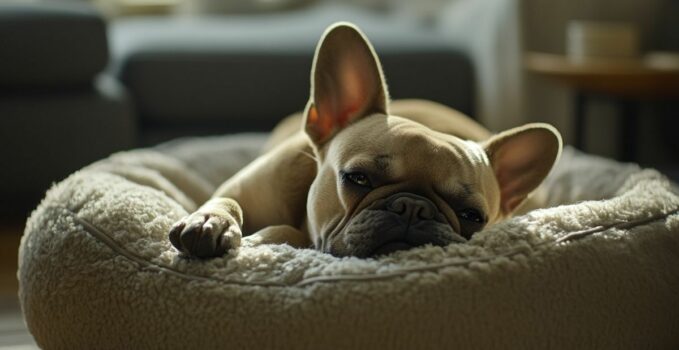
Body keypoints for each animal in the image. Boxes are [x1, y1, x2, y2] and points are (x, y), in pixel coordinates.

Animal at [167, 21, 560, 258]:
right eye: (357, 178)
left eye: (472, 216)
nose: (413, 207)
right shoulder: (242, 188)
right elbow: (225, 201)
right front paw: (212, 222)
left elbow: (288, 233)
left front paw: (265, 237)